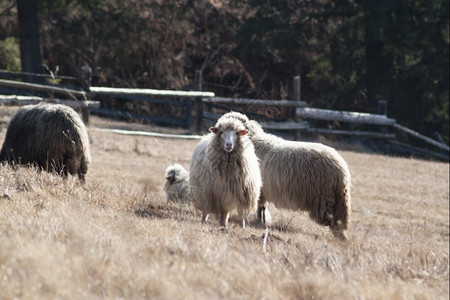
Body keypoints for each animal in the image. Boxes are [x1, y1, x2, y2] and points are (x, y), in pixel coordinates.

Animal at [221, 111, 352, 240]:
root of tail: (341, 169)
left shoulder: (257, 188)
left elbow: (260, 207)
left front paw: (258, 221)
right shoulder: (263, 190)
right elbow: (262, 207)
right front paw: (262, 222)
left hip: (324, 199)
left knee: (332, 221)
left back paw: (339, 237)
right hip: (338, 198)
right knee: (340, 220)